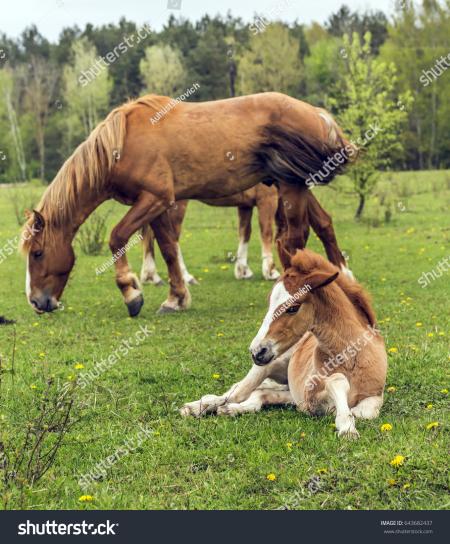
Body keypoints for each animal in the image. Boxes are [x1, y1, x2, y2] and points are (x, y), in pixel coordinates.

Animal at [141, 184, 352, 284]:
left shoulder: (245, 205)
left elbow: (245, 232)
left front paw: (243, 270)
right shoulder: (268, 198)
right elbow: (266, 232)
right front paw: (270, 271)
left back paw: (151, 275)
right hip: (177, 203)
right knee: (171, 237)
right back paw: (185, 276)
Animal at [181, 249, 388, 440]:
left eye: (293, 308)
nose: (256, 351)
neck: (353, 359)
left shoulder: (375, 395)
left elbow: (363, 412)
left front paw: (348, 423)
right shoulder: (309, 398)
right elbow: (337, 382)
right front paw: (347, 428)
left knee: (261, 393)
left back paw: (231, 410)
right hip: (267, 367)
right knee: (235, 393)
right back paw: (196, 407)